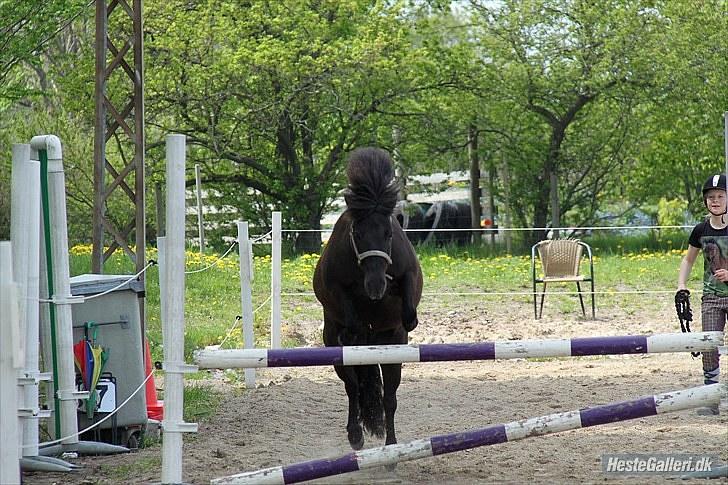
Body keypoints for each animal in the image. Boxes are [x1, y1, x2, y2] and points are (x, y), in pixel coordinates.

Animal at [312, 147, 420, 450]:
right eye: (357, 234)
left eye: (389, 233)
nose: (375, 288)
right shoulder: (334, 287)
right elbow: (349, 314)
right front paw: (355, 329)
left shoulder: (408, 274)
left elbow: (408, 310)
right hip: (336, 353)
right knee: (354, 389)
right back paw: (355, 435)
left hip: (393, 353)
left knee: (389, 398)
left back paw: (391, 447)